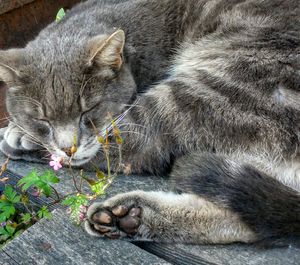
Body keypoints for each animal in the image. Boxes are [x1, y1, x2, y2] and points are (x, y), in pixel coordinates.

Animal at [0, 0, 300, 243]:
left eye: (89, 110)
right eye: (42, 118)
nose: (68, 147)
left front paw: (18, 135)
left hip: (198, 92)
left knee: (133, 151)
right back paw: (129, 217)